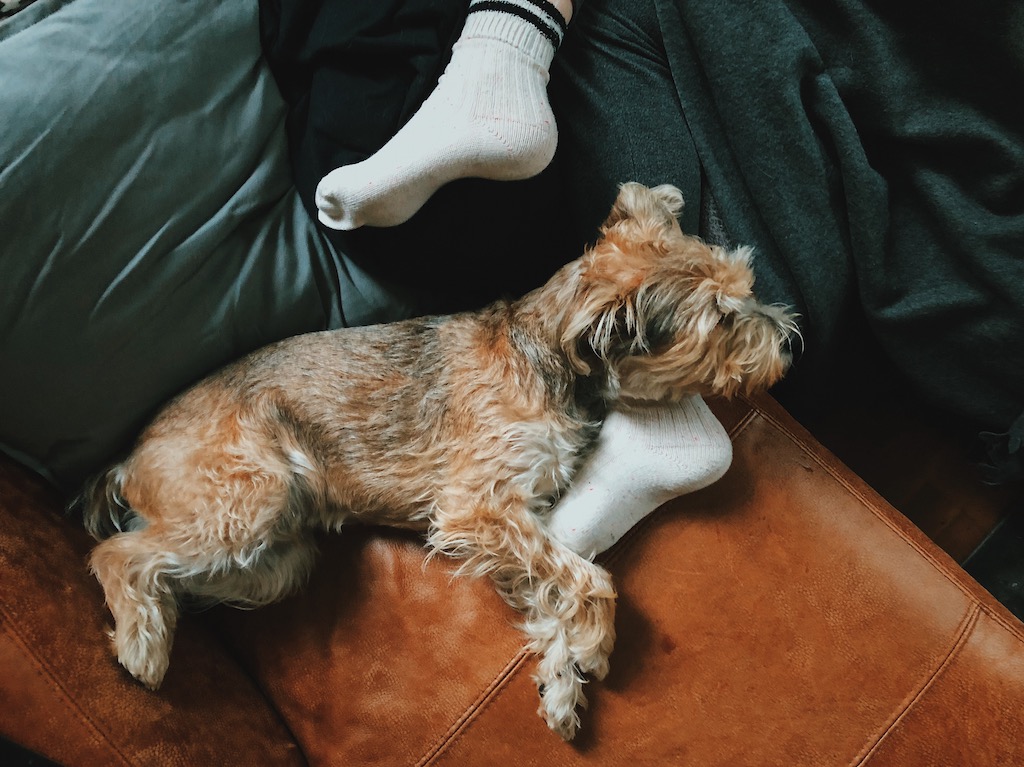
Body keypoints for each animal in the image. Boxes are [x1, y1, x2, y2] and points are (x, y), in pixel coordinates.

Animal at [81, 181, 798, 737]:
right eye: (723, 319)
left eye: (744, 286)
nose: (790, 339)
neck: (551, 360)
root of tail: (124, 463)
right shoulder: (477, 509)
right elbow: (589, 578)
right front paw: (594, 648)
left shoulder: (519, 524)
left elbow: (554, 590)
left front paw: (561, 681)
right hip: (248, 497)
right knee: (115, 554)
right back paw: (142, 645)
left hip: (279, 560)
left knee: (174, 571)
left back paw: (156, 618)